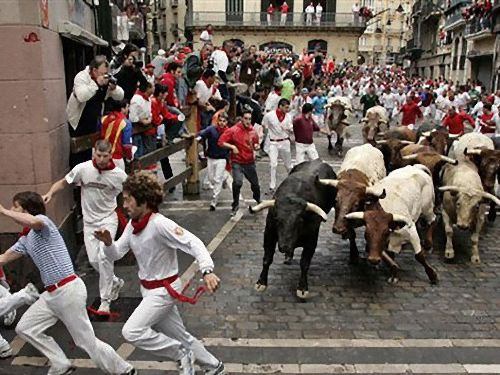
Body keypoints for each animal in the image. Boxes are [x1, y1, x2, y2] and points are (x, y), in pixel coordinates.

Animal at [249, 160, 336, 302]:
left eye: (300, 221)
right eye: (277, 219)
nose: (284, 246)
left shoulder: (312, 240)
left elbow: (304, 263)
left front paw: (302, 289)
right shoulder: (269, 233)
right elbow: (267, 258)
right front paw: (261, 283)